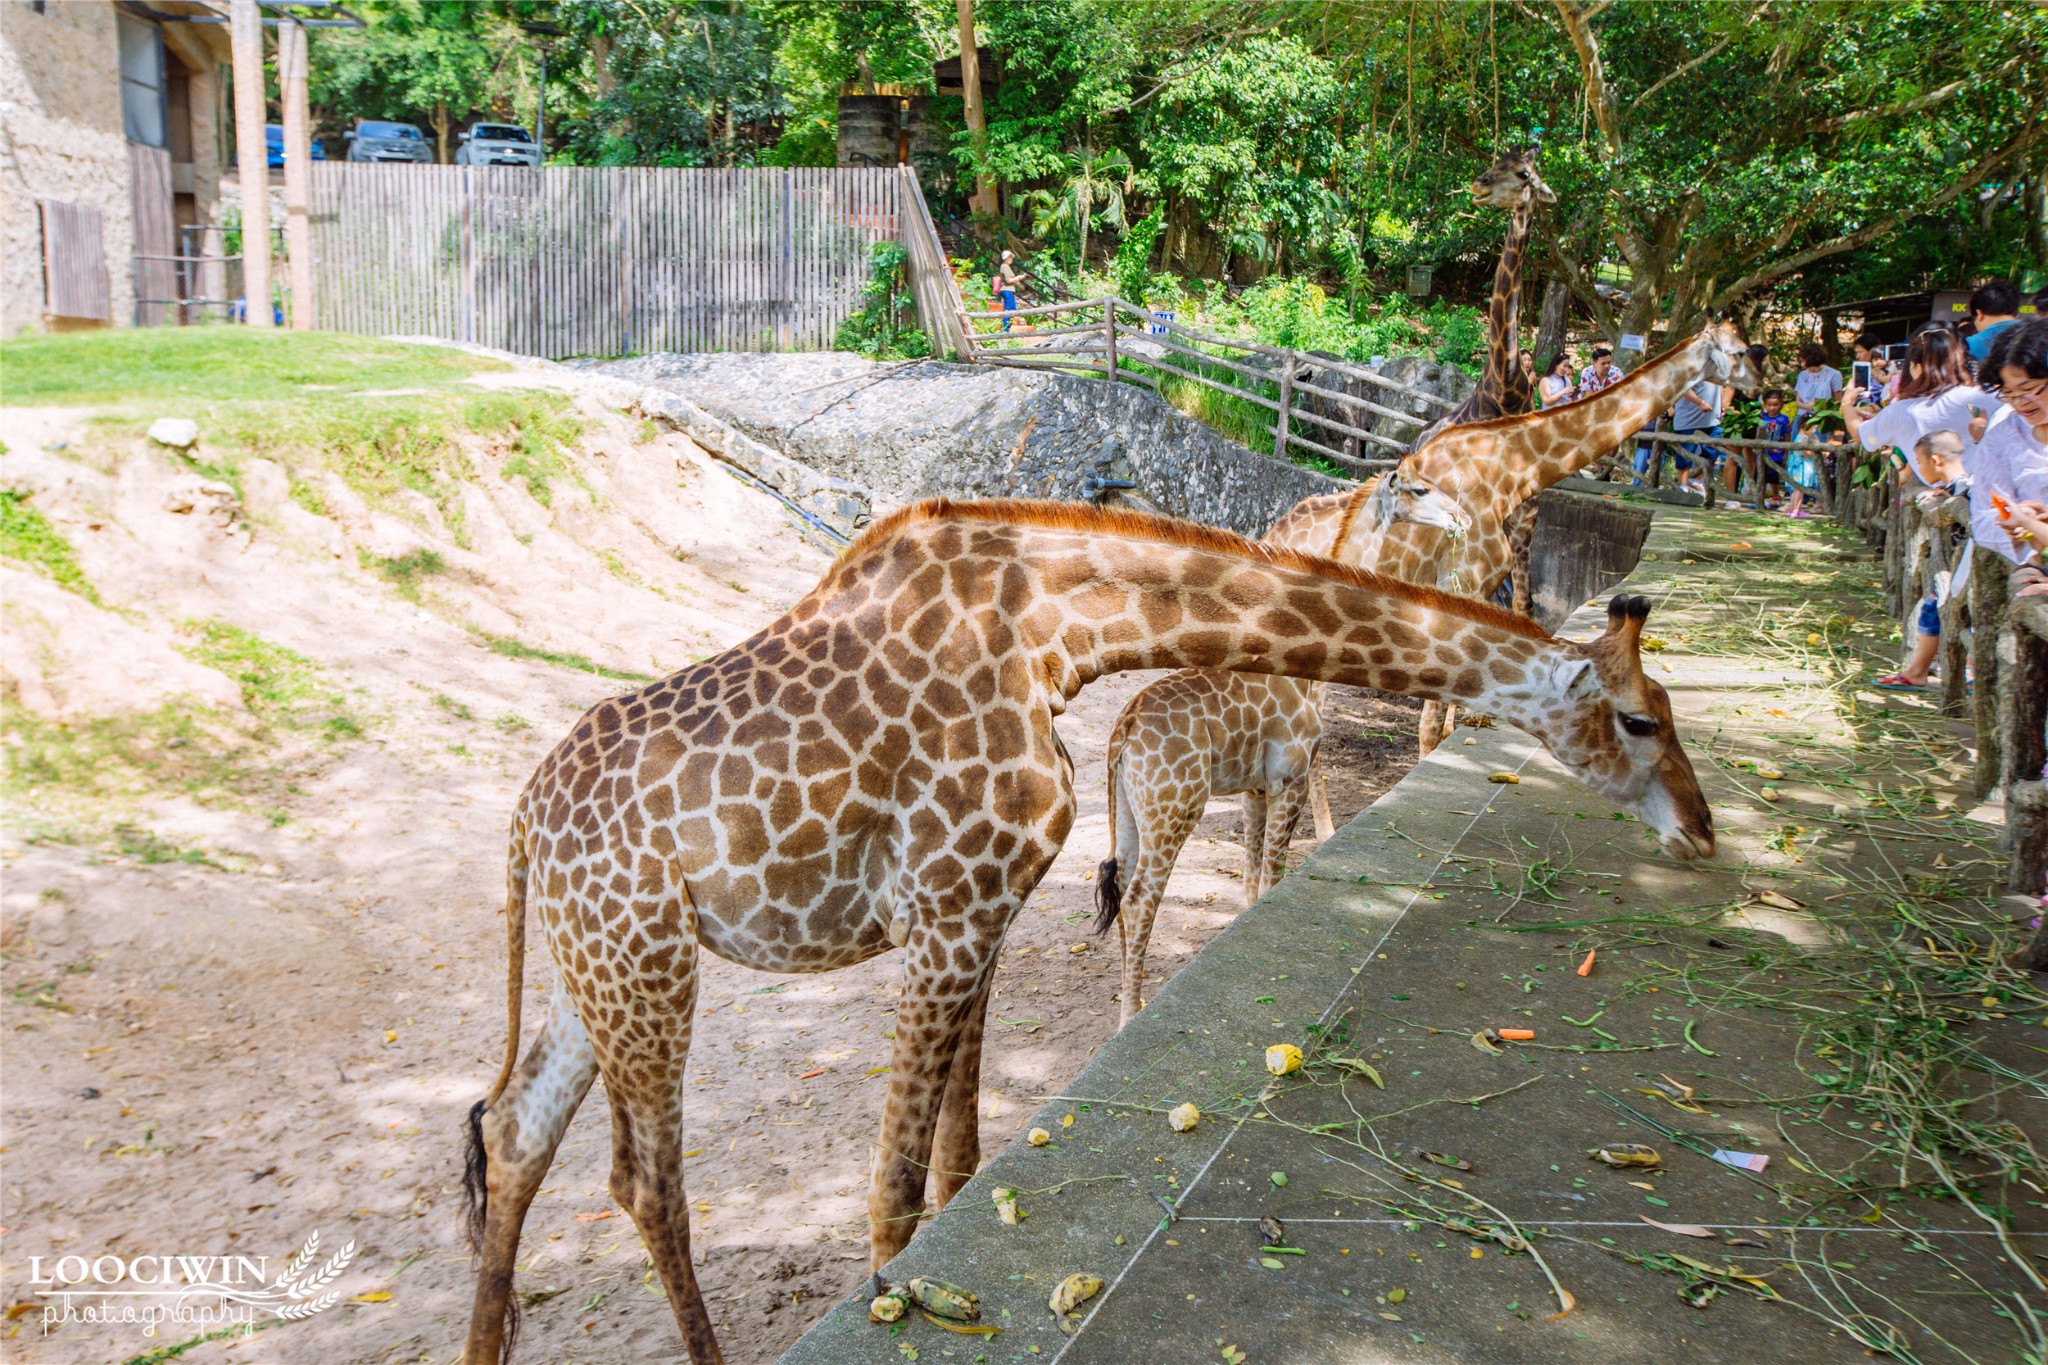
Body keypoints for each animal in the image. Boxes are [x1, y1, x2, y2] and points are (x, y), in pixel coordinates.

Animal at [1089, 470, 1474, 1023]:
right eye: (1420, 489)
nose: (1462, 517)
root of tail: (1124, 731)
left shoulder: (1254, 788)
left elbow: (1251, 878)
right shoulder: (1287, 777)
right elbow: (1274, 875)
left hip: (1127, 813)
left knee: (1119, 891)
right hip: (1176, 809)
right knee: (1142, 898)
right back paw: (1132, 1016)